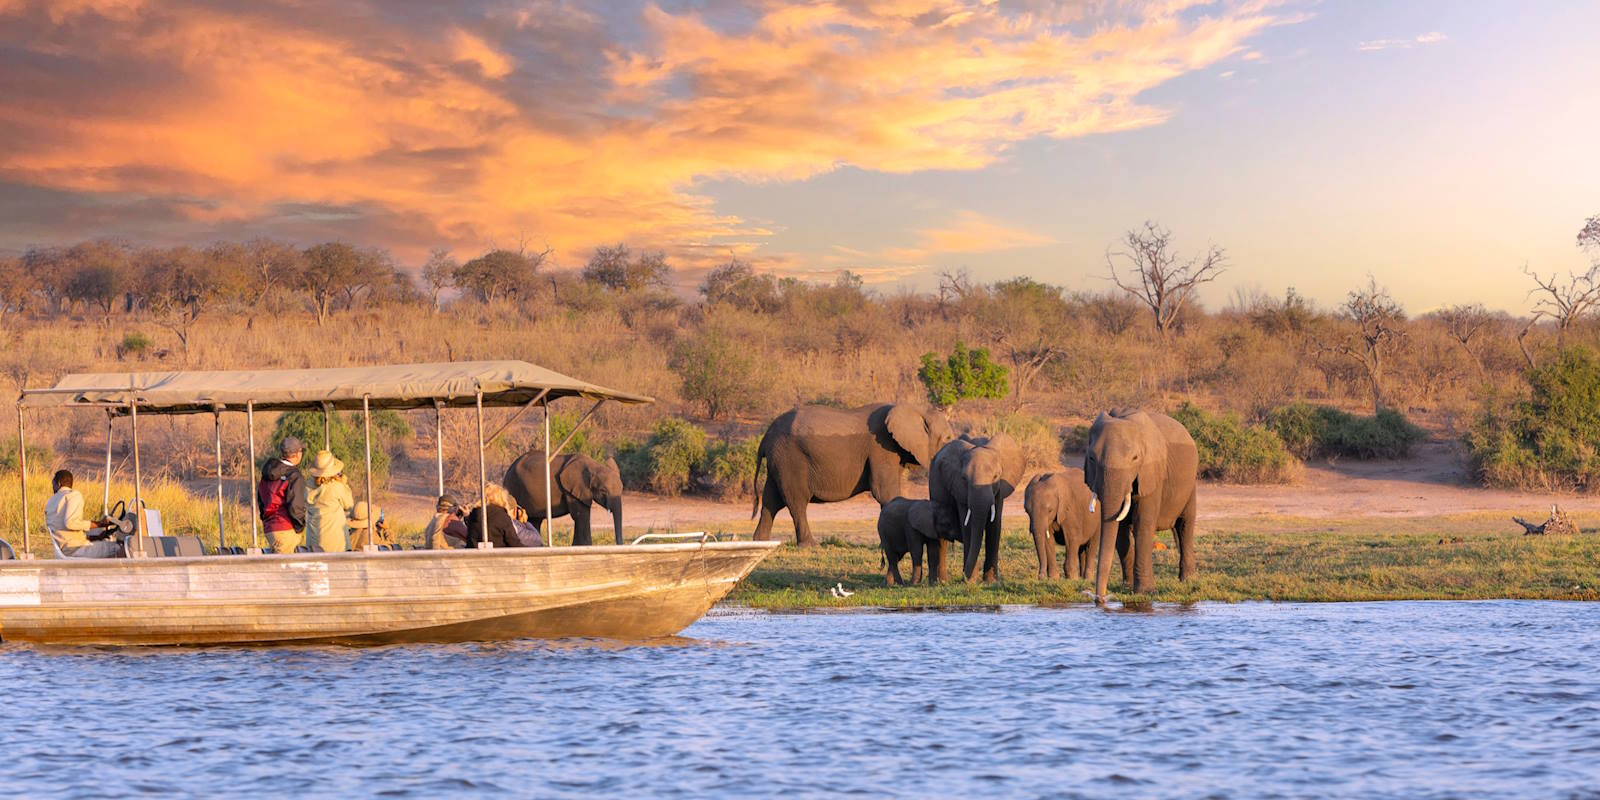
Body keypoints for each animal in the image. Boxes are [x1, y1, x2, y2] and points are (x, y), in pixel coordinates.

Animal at [748, 403, 947, 547]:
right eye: (947, 439)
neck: (915, 408)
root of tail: (766, 437)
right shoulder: (881, 448)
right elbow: (884, 492)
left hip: (779, 461)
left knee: (771, 501)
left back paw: (760, 542)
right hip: (790, 459)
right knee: (796, 501)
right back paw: (810, 546)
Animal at [928, 435, 1024, 585]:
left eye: (996, 476)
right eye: (964, 478)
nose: (963, 579)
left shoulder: (999, 490)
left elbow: (994, 526)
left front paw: (991, 582)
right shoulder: (959, 489)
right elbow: (968, 527)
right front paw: (972, 581)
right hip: (934, 484)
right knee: (941, 538)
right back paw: (941, 582)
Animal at [1081, 409, 1196, 601]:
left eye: (1135, 458)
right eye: (1091, 458)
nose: (1099, 599)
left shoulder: (1151, 473)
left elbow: (1143, 524)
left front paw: (1145, 592)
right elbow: (1120, 531)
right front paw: (1127, 588)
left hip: (1191, 483)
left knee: (1185, 525)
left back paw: (1187, 580)